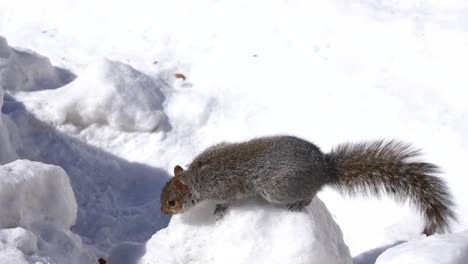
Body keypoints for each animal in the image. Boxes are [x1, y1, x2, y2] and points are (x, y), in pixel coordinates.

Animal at [162, 135, 458, 234]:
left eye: (172, 202)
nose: (164, 211)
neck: (195, 177)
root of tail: (325, 169)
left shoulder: (224, 186)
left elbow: (227, 200)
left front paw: (219, 211)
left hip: (279, 188)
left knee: (311, 194)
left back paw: (299, 204)